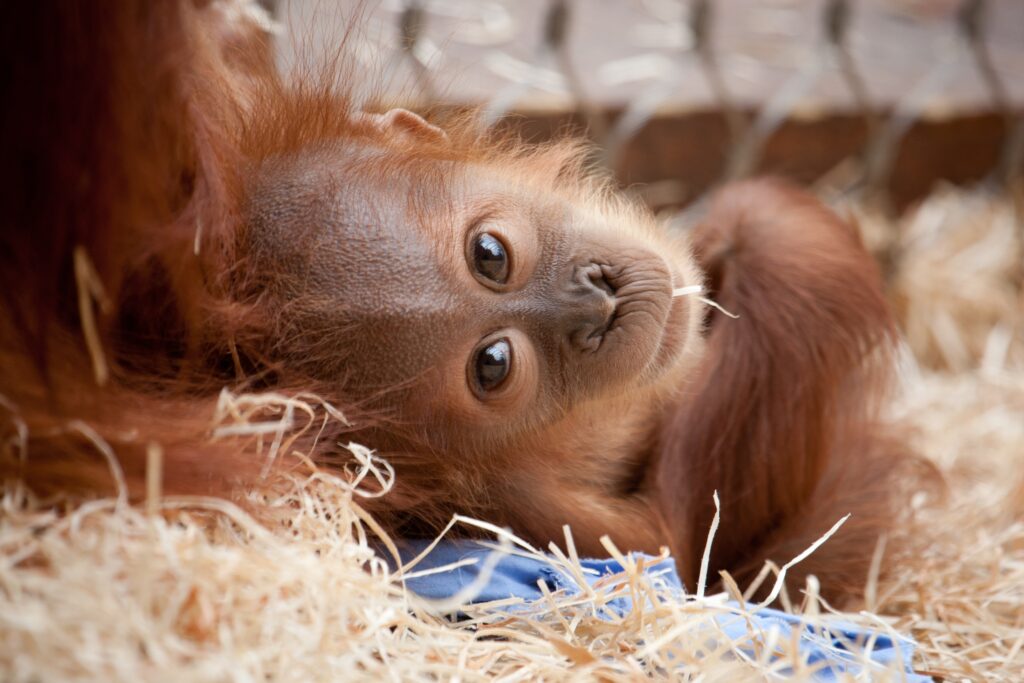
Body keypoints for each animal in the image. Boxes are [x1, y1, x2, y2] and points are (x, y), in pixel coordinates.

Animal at [0, 1, 931, 603]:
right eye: (493, 365)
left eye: (489, 253)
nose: (594, 303)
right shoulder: (545, 517)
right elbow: (694, 542)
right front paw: (756, 230)